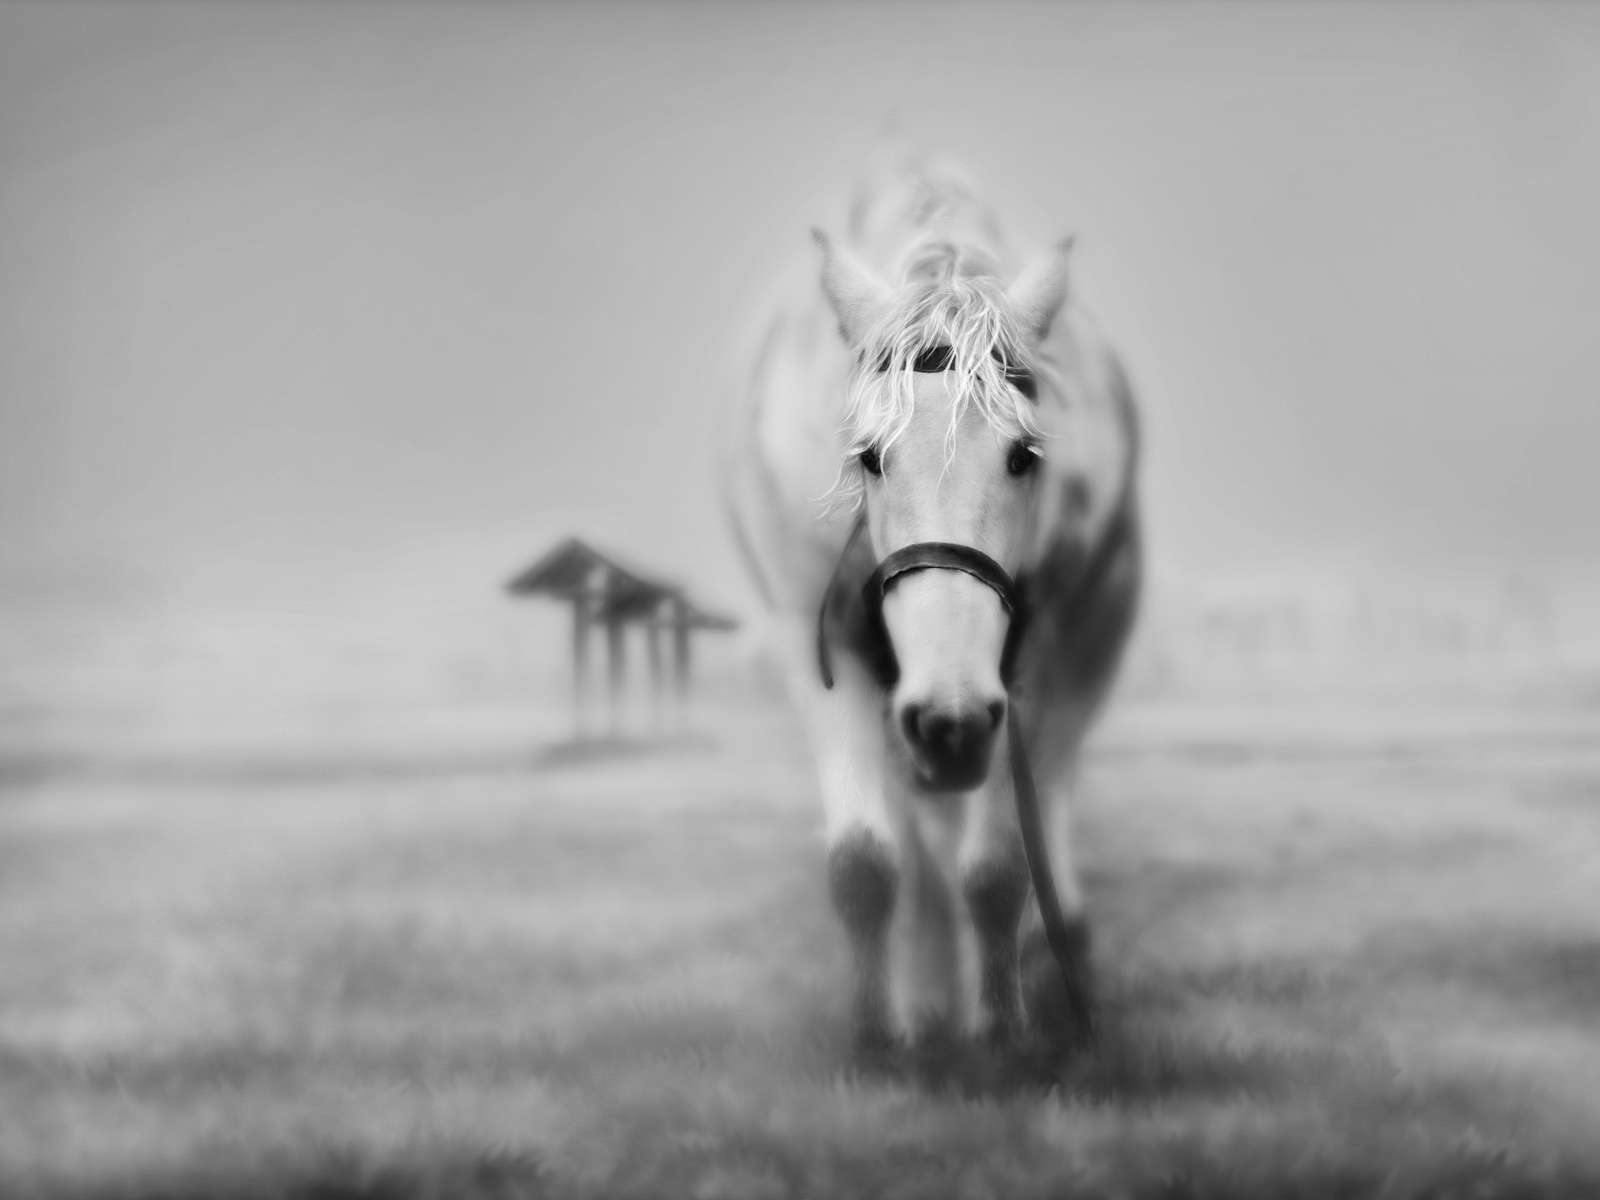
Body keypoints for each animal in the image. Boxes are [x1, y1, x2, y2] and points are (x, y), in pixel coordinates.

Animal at [721, 156, 1141, 1050]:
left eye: (1025, 455)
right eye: (867, 457)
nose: (950, 723)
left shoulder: (1035, 658)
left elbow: (999, 867)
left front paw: (1002, 1030)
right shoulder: (819, 648)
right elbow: (866, 861)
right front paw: (880, 1035)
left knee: (1050, 792)